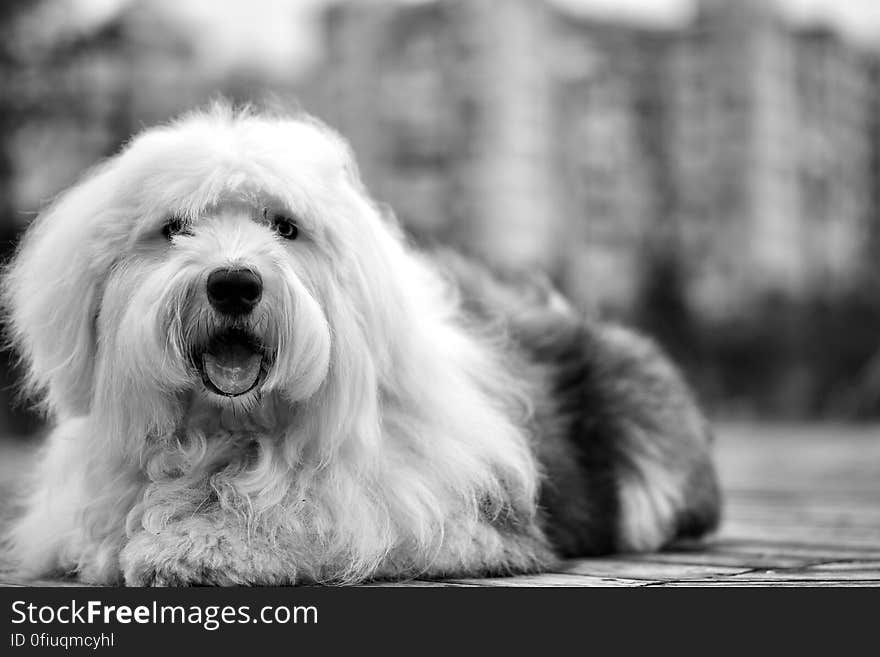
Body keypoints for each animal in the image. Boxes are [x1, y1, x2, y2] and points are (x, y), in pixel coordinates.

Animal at [3, 106, 720, 584]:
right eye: (174, 227)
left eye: (285, 226)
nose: (234, 283)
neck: (233, 428)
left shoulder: (442, 515)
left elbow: (312, 520)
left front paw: (198, 546)